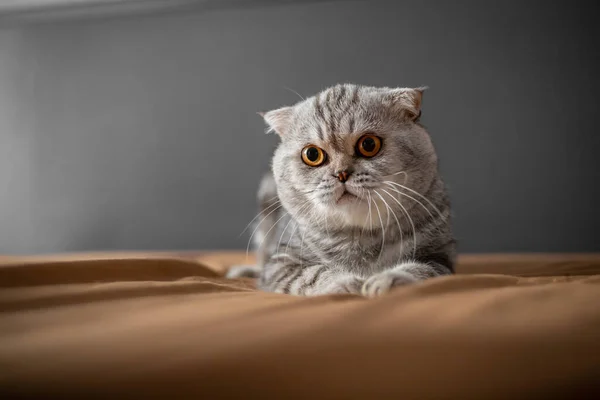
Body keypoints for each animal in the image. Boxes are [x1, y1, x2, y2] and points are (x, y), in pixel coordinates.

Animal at [227, 83, 458, 296]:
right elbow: (313, 274)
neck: (360, 235)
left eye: (369, 144)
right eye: (312, 154)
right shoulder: (281, 263)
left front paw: (386, 280)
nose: (341, 174)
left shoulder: (439, 258)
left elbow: (418, 270)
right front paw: (347, 282)